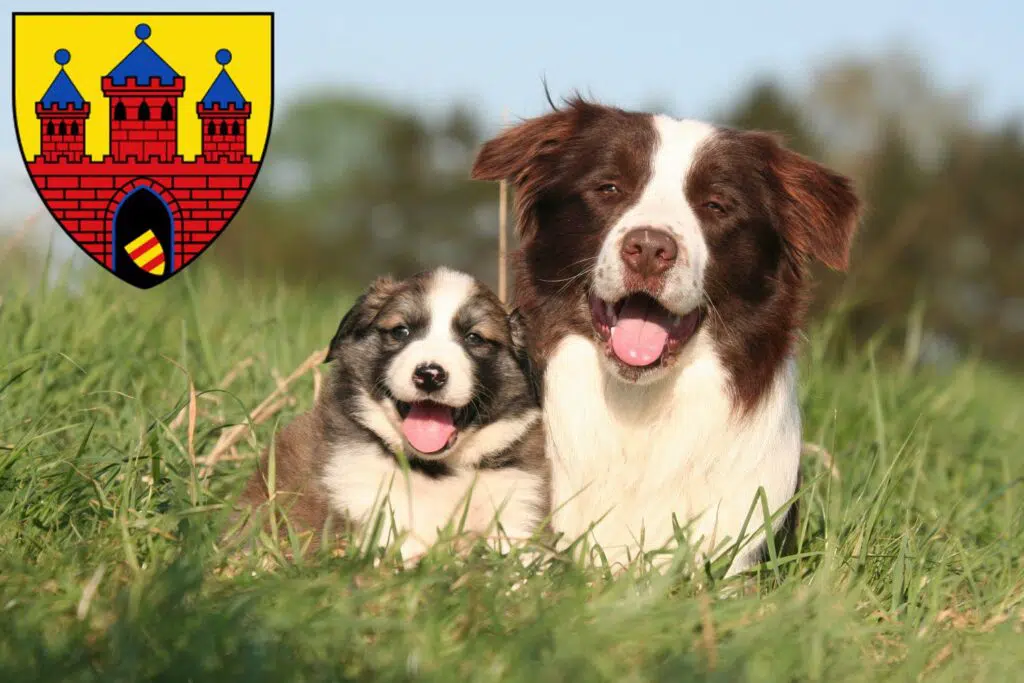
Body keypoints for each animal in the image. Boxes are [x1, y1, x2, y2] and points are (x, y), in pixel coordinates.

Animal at [234, 266, 548, 561]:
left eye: (474, 338)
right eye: (401, 331)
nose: (430, 375)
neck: (437, 470)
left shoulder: (517, 506)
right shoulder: (365, 502)